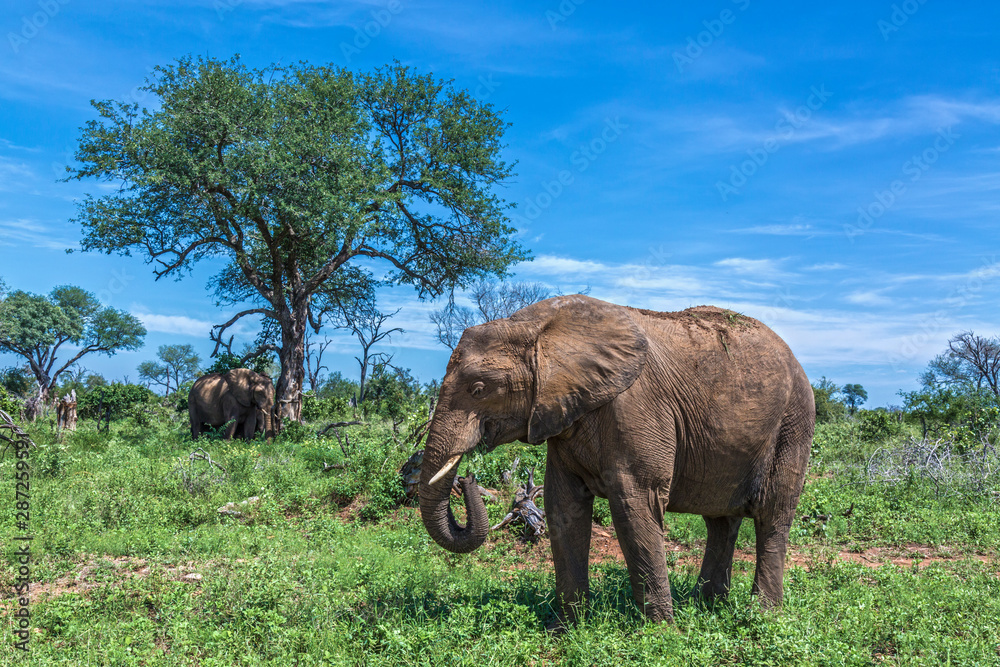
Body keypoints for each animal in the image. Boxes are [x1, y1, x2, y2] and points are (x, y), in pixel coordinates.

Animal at [418, 295, 814, 627]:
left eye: (479, 389)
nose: (468, 478)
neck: (536, 326)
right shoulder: (564, 413)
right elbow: (563, 508)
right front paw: (565, 629)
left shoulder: (636, 407)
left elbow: (634, 505)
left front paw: (660, 633)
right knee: (721, 522)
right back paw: (708, 605)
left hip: (793, 424)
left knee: (772, 516)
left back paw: (761, 616)